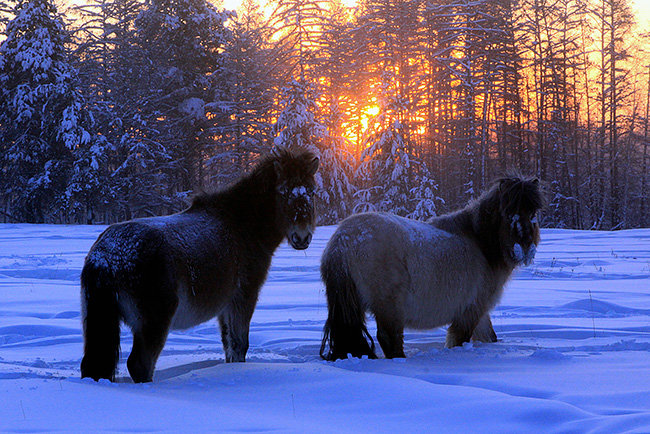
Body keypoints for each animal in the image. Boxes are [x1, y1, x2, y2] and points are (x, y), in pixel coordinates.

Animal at [81, 148, 318, 384]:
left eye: (312, 192)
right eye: (283, 192)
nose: (302, 237)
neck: (242, 225)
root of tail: (106, 256)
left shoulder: (225, 307)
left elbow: (229, 347)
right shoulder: (243, 297)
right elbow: (239, 345)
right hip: (153, 324)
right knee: (140, 364)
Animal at [318, 175, 540, 362]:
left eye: (533, 213)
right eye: (508, 213)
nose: (525, 248)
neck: (480, 243)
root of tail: (343, 240)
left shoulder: (480, 312)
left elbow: (488, 336)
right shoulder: (471, 309)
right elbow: (459, 339)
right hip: (389, 307)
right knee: (390, 338)